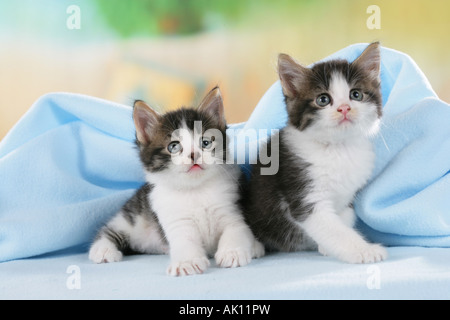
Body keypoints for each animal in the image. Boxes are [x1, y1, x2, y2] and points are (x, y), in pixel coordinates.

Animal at [89, 87, 264, 276]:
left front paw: (232, 252)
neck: (195, 189)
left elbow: (235, 230)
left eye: (205, 142)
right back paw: (102, 249)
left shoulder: (233, 208)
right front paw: (187, 262)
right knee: (111, 229)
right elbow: (184, 241)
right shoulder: (174, 218)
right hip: (135, 217)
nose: (194, 154)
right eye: (174, 146)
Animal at [244, 42, 388, 262]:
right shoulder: (303, 191)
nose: (344, 108)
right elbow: (335, 230)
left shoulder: (348, 197)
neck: (337, 148)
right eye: (323, 100)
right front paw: (365, 250)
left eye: (356, 95)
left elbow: (345, 218)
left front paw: (326, 247)